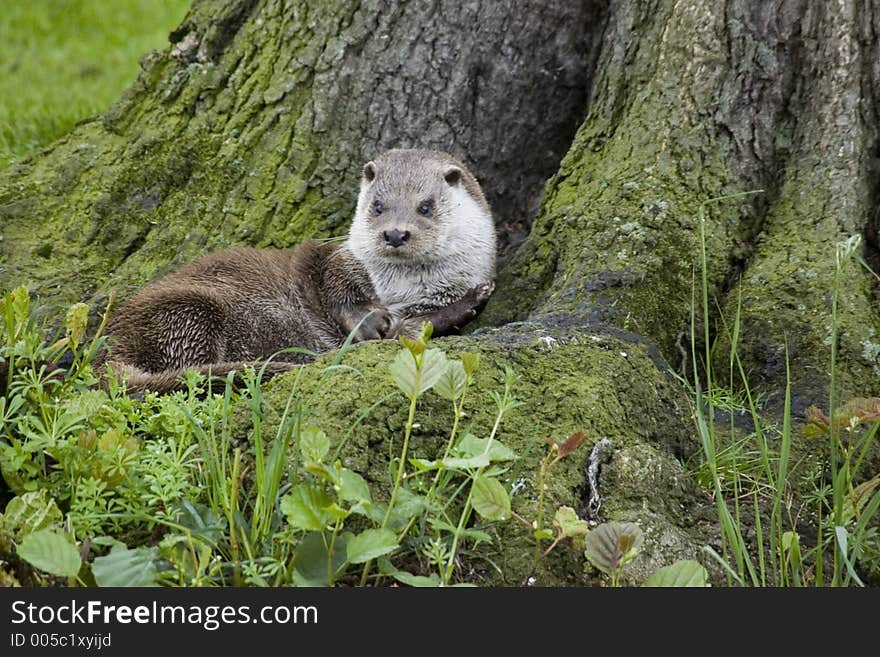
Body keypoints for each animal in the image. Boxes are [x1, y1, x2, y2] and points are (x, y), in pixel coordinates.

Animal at [99, 151, 498, 392]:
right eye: (378, 206)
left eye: (426, 206)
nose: (396, 233)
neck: (401, 289)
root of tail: (112, 342)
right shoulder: (338, 259)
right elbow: (337, 288)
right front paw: (367, 320)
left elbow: (416, 328)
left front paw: (469, 301)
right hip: (190, 309)